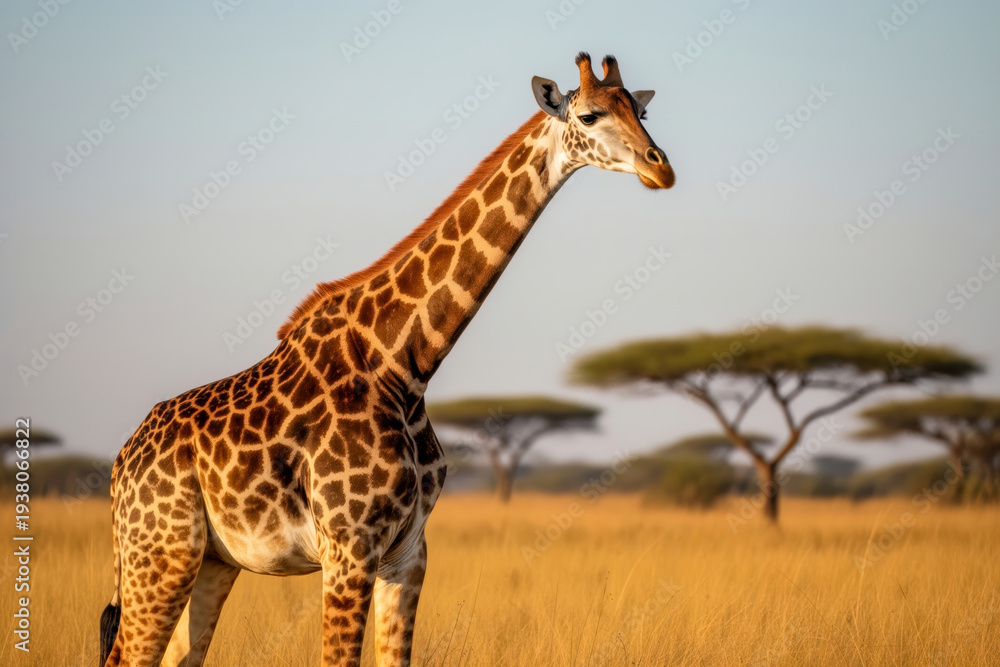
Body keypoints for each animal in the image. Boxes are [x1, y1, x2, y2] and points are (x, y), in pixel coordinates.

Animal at [100, 52, 674, 667]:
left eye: (640, 111)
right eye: (589, 115)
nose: (660, 168)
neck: (404, 365)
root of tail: (120, 466)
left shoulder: (408, 551)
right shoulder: (349, 549)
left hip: (210, 560)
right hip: (160, 555)